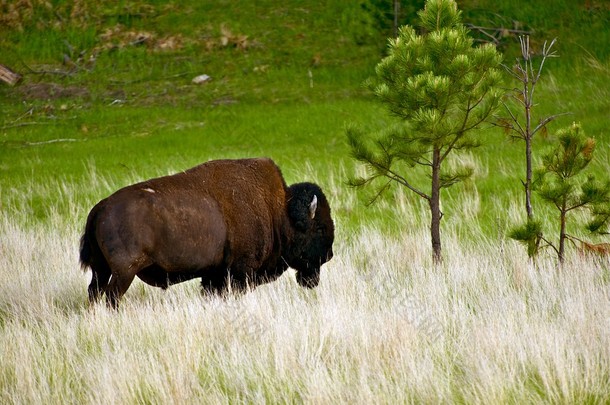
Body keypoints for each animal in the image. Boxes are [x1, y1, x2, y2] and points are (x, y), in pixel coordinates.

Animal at [79, 158, 334, 306]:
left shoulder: (215, 274)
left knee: (94, 291)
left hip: (101, 269)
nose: (329, 255)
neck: (278, 210)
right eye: (320, 227)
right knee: (111, 296)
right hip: (124, 272)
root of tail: (100, 207)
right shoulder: (240, 270)